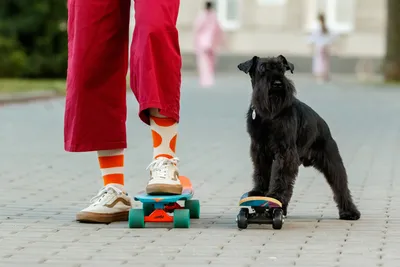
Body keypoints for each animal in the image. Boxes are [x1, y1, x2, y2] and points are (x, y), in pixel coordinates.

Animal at [238, 55, 360, 221]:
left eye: (282, 69)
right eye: (262, 69)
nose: (277, 83)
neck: (270, 115)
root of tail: (323, 125)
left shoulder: (285, 152)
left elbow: (280, 175)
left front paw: (275, 196)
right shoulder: (259, 150)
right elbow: (262, 172)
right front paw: (259, 192)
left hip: (332, 162)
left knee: (340, 186)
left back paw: (350, 212)